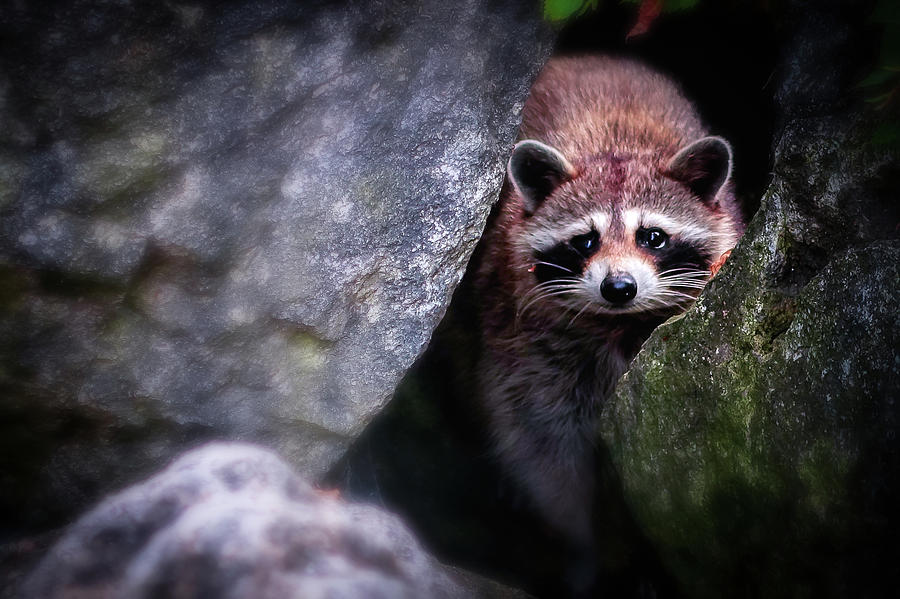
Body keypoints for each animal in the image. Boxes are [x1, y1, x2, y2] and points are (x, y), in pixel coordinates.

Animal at [474, 56, 744, 545]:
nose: (618, 287)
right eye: (585, 241)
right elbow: (540, 435)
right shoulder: (524, 337)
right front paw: (583, 531)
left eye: (652, 237)